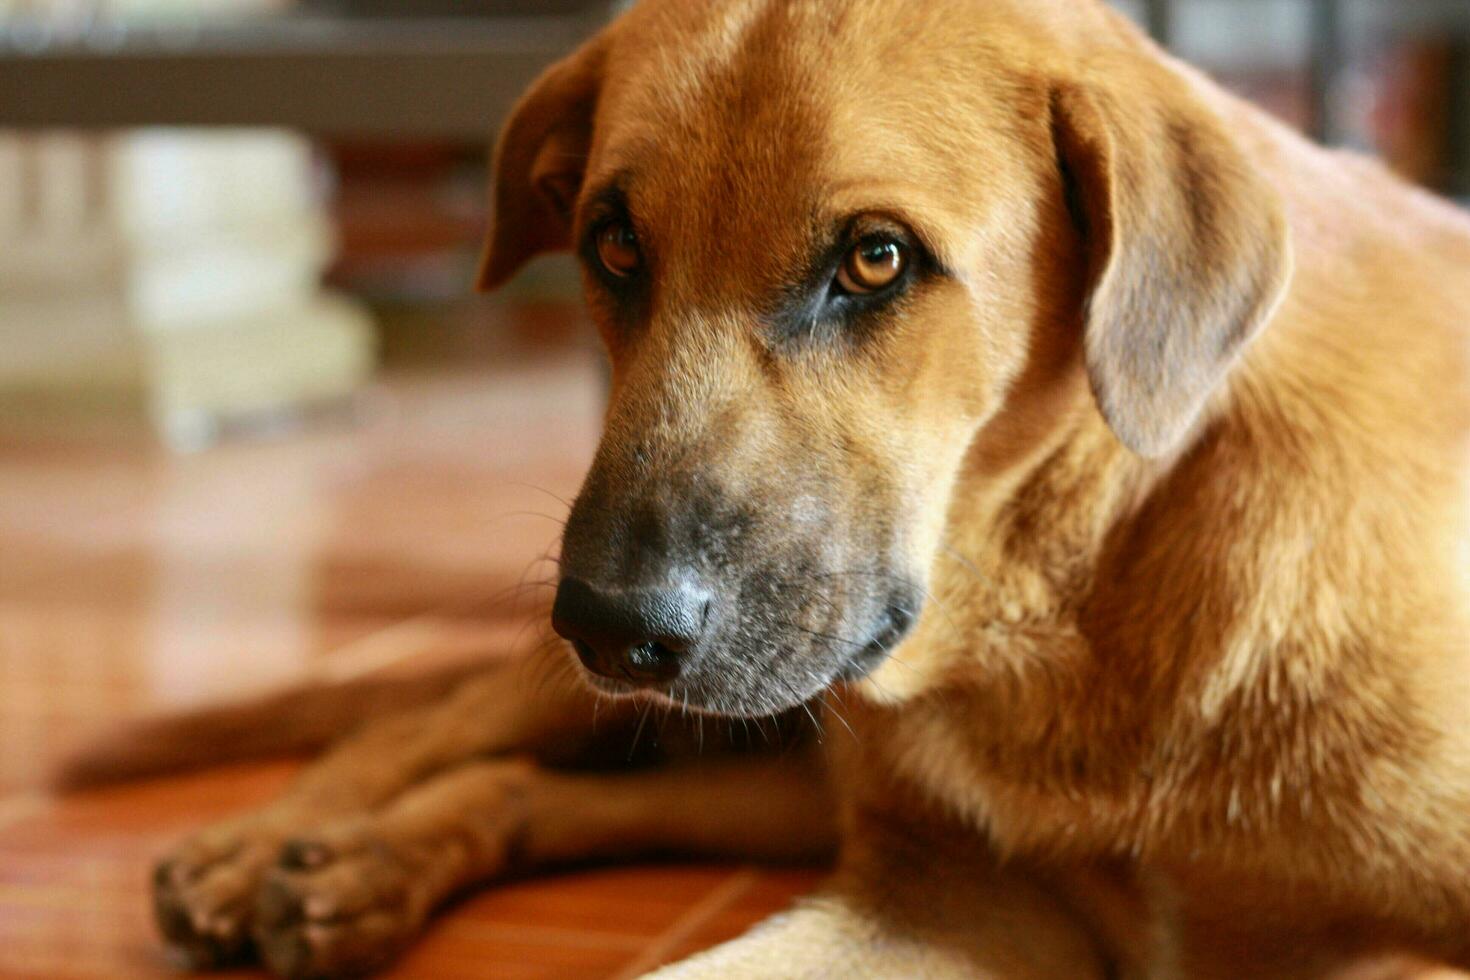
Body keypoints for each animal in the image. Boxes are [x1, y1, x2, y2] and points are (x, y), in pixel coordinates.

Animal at [143, 0, 1470, 975]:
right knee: (421, 724)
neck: (1073, 582)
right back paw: (277, 840)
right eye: (612, 243)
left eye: (875, 258)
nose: (612, 626)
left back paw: (361, 864)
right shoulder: (947, 888)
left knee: (546, 786)